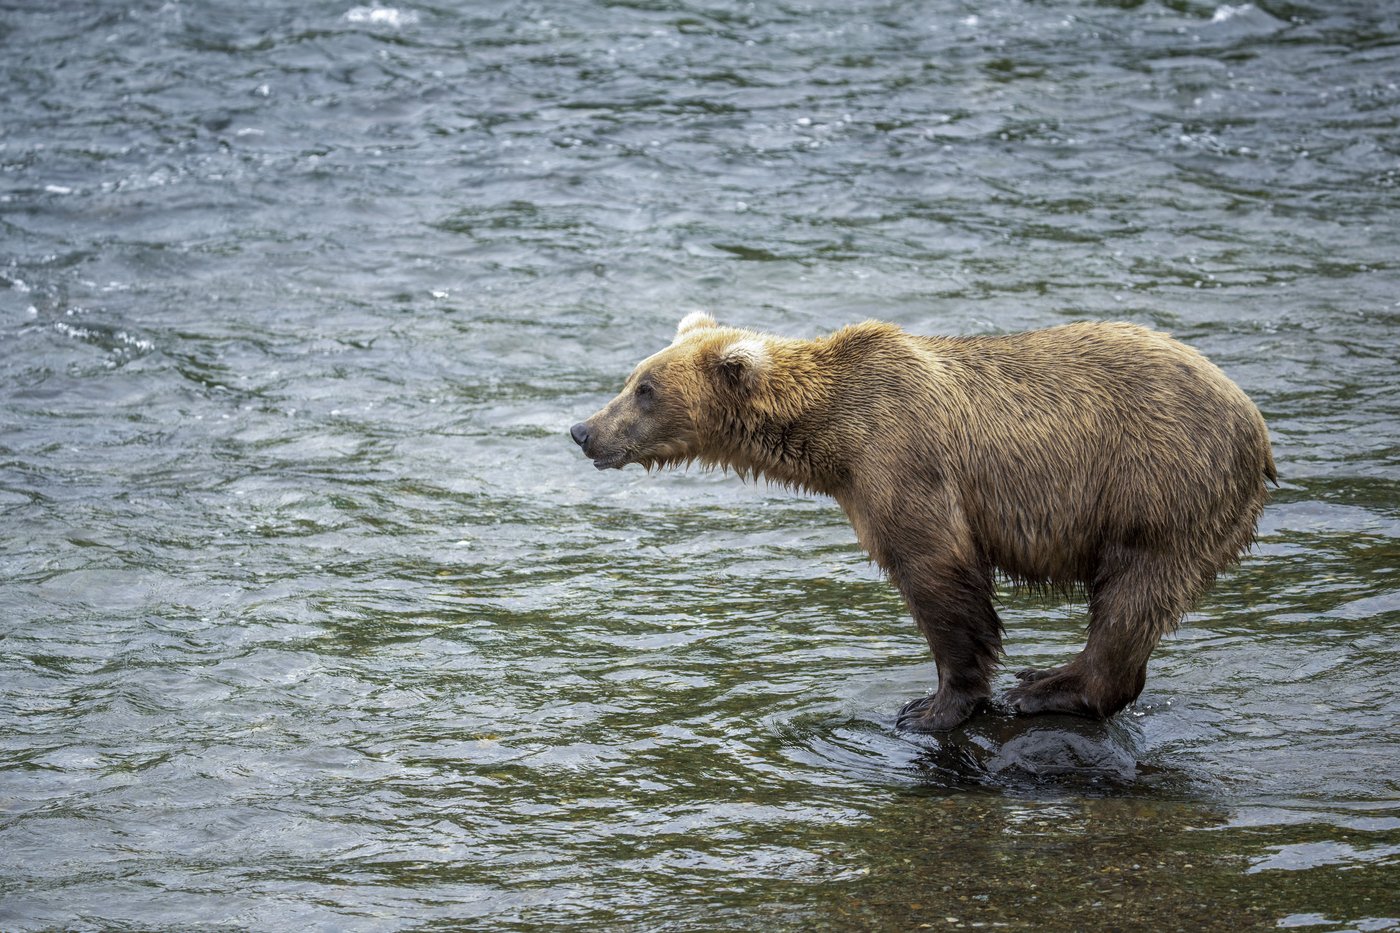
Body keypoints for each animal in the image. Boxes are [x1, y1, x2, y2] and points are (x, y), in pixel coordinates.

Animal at [569, 313, 1275, 731]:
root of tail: (1256, 422)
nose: (583, 431)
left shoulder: (904, 460)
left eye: (645, 390)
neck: (831, 442)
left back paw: (1047, 687)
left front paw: (932, 706)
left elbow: (940, 577)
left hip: (1156, 486)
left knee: (1132, 593)